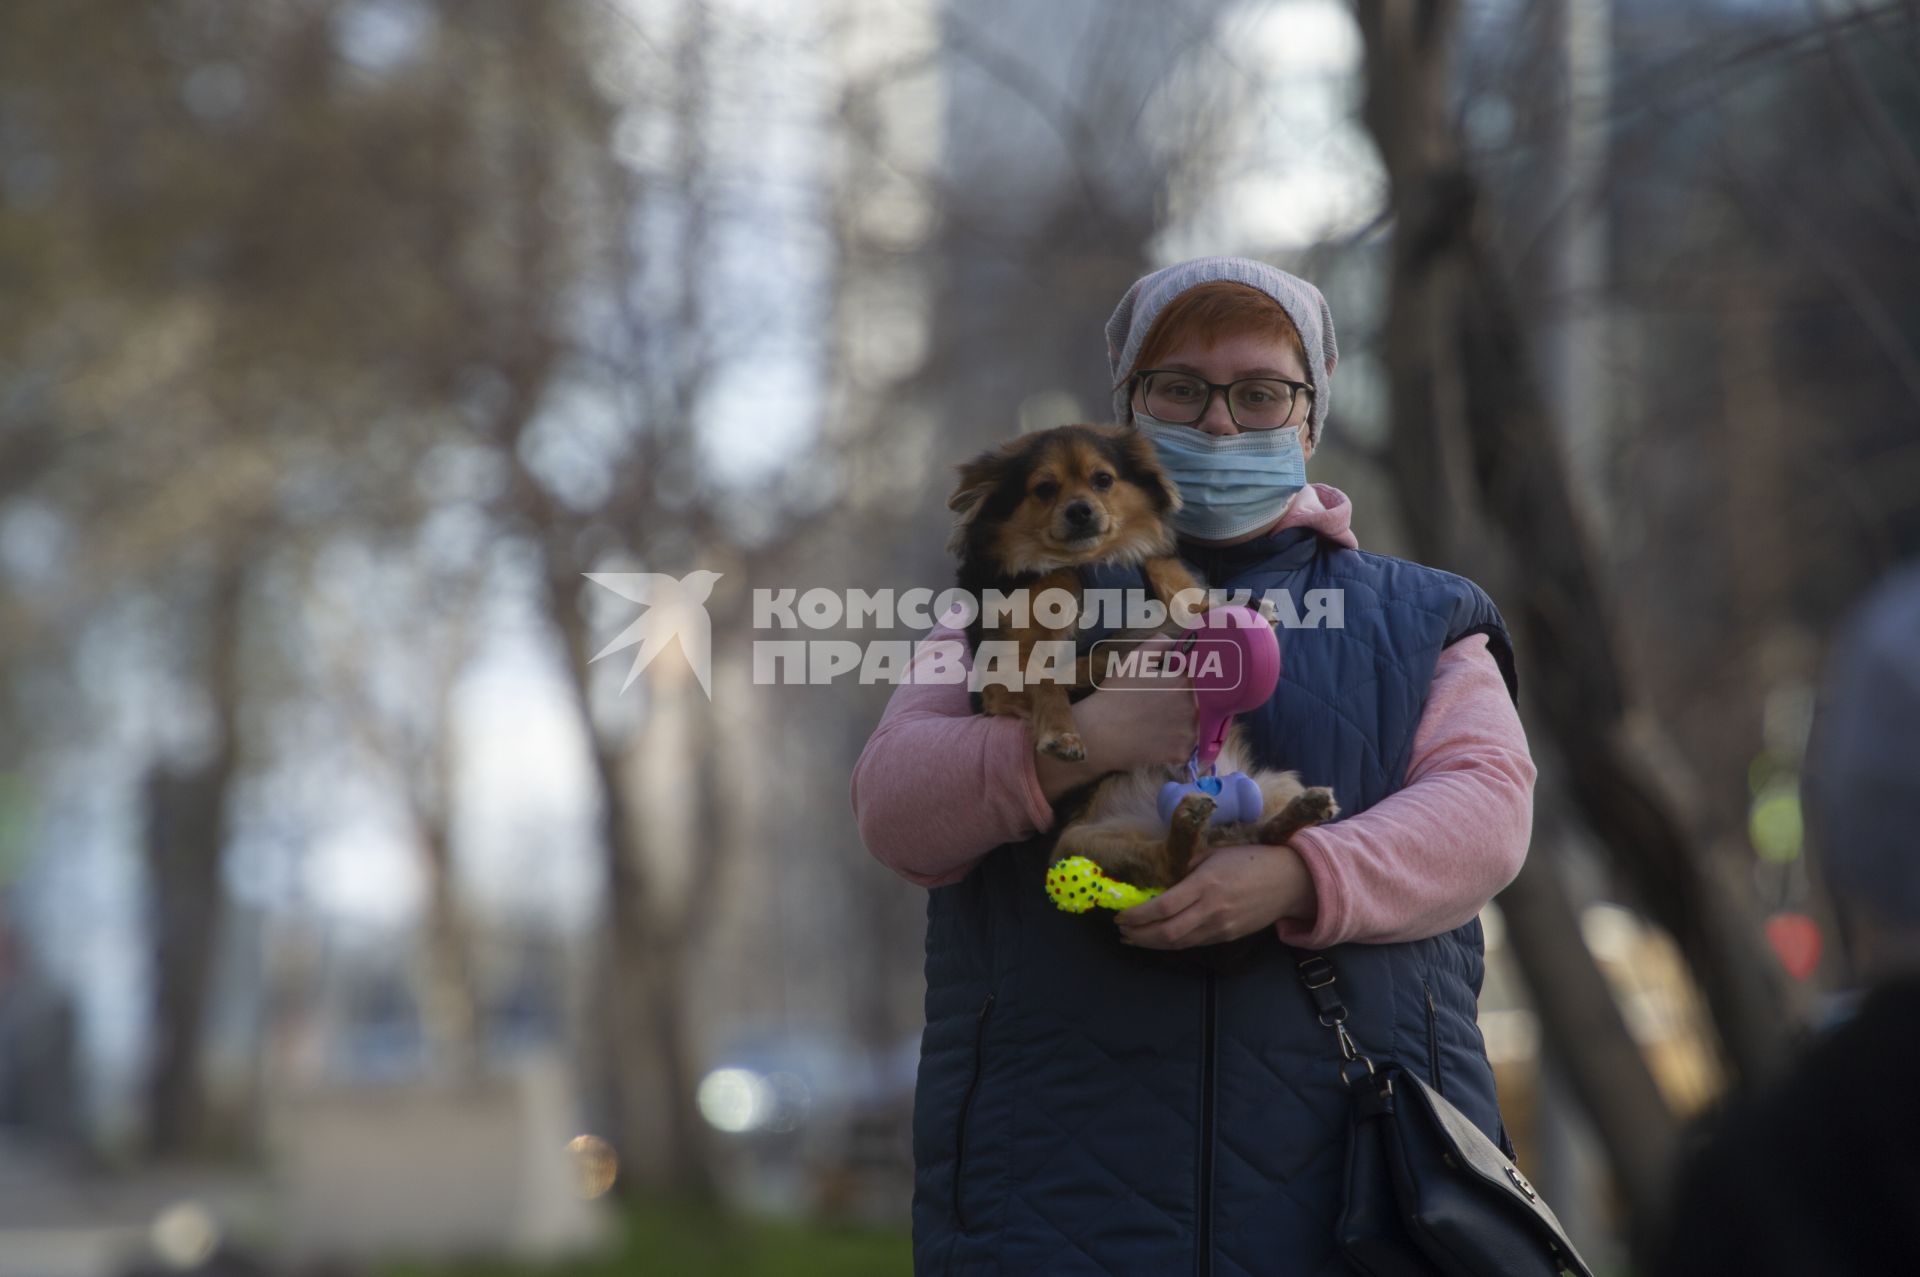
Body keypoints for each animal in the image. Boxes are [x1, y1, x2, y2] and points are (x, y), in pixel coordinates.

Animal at [944, 422, 1336, 891]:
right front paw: (1063, 733)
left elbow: (1173, 582)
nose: (1080, 511)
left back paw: (1301, 810)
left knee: (1263, 836)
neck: (1098, 566)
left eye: (1103, 480)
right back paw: (1187, 825)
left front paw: (1231, 608)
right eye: (1044, 489)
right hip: (1079, 844)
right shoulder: (1000, 677)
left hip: (1274, 785)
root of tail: (1218, 830)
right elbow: (1053, 672)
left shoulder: (1157, 568)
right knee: (1171, 865)